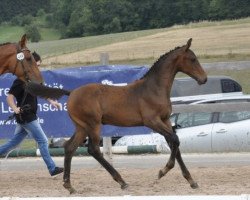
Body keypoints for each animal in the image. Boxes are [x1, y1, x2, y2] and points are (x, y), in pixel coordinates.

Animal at [26, 38, 207, 194]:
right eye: (192, 59)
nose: (204, 79)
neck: (153, 88)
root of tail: (71, 93)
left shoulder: (166, 120)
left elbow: (174, 143)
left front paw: (191, 181)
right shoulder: (152, 121)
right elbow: (174, 140)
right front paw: (162, 171)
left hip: (81, 127)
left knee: (70, 147)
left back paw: (69, 186)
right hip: (93, 125)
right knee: (93, 149)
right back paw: (122, 181)